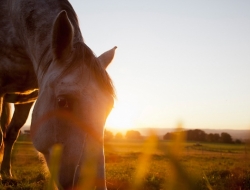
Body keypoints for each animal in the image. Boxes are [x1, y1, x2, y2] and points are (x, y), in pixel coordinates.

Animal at [0, 0, 116, 189]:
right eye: (62, 102)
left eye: (109, 107)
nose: (91, 185)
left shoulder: (28, 99)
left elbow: (12, 133)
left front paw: (6, 173)